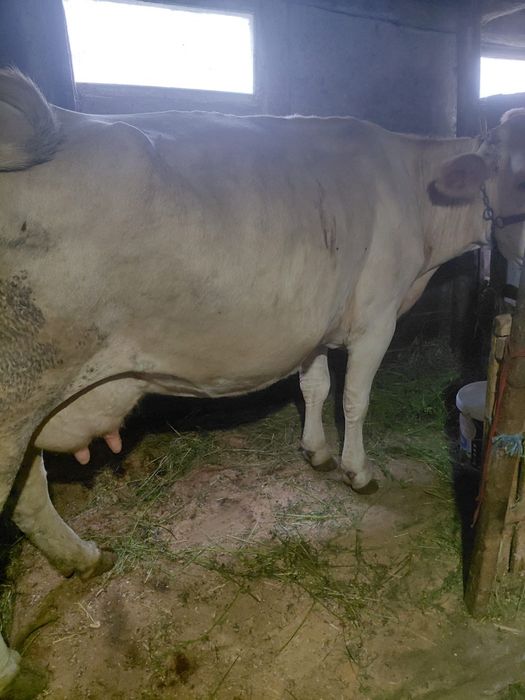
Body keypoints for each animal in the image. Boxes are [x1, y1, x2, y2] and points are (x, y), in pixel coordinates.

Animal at [0, 67, 524, 695]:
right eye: (517, 174)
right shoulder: (377, 315)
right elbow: (355, 397)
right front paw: (357, 471)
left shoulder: (315, 321)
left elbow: (315, 387)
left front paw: (316, 452)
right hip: (16, 391)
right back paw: (9, 664)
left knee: (29, 494)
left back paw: (82, 557)